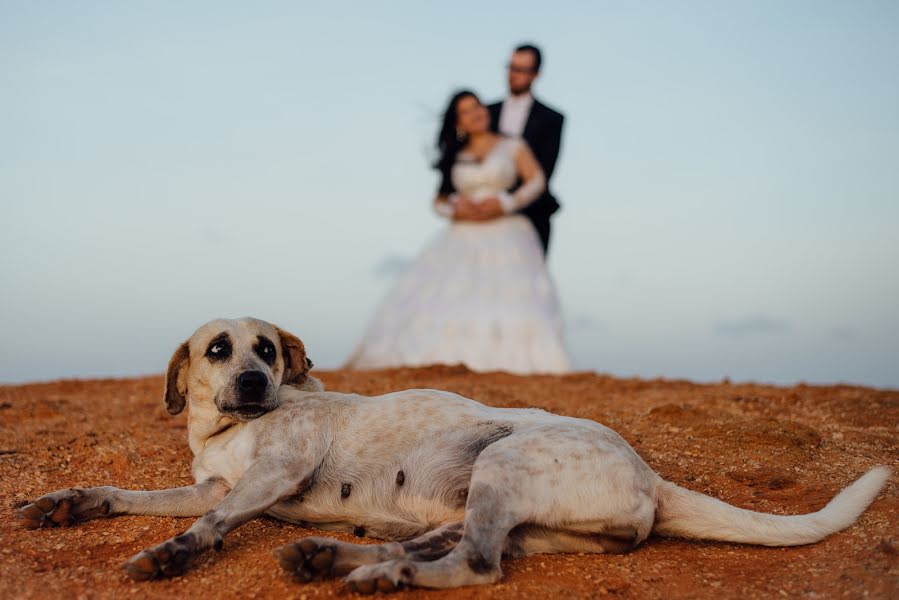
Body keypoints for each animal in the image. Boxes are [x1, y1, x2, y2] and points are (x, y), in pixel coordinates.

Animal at [17, 316, 888, 592]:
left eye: (266, 347)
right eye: (218, 350)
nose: (257, 381)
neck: (231, 436)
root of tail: (654, 476)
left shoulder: (271, 474)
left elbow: (207, 525)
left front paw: (171, 556)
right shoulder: (210, 483)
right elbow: (138, 497)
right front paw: (71, 502)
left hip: (503, 466)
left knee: (475, 564)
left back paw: (375, 575)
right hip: (495, 507)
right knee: (445, 544)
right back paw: (337, 557)